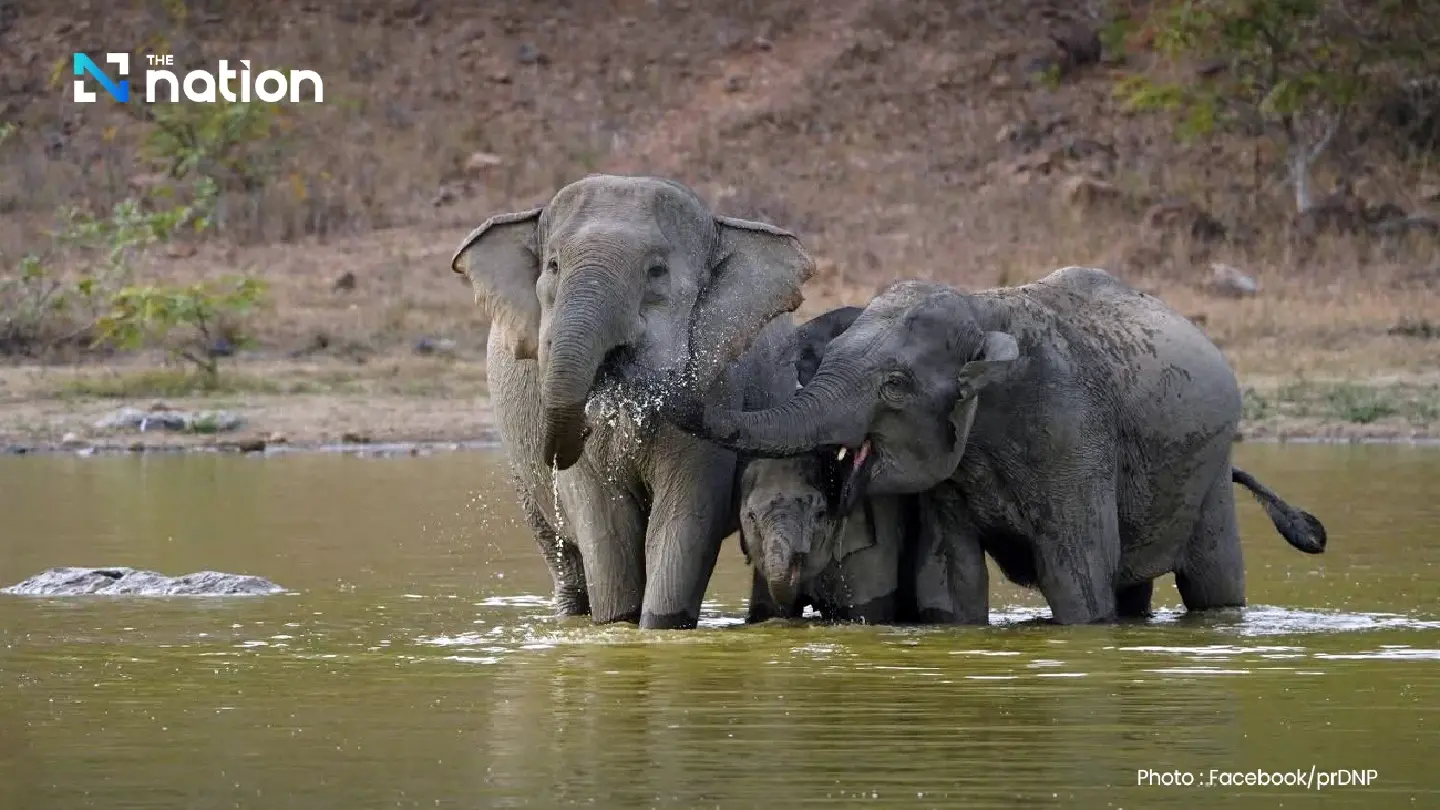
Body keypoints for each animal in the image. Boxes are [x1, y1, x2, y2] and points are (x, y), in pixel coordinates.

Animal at [450, 174, 814, 629]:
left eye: (656, 271)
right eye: (553, 266)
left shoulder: (721, 383)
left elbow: (683, 519)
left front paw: (656, 630)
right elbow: (606, 524)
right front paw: (616, 626)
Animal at [663, 266, 1328, 625]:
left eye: (895, 387)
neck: (982, 310)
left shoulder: (1072, 431)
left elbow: (1075, 574)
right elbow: (953, 578)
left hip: (1210, 466)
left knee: (1212, 583)